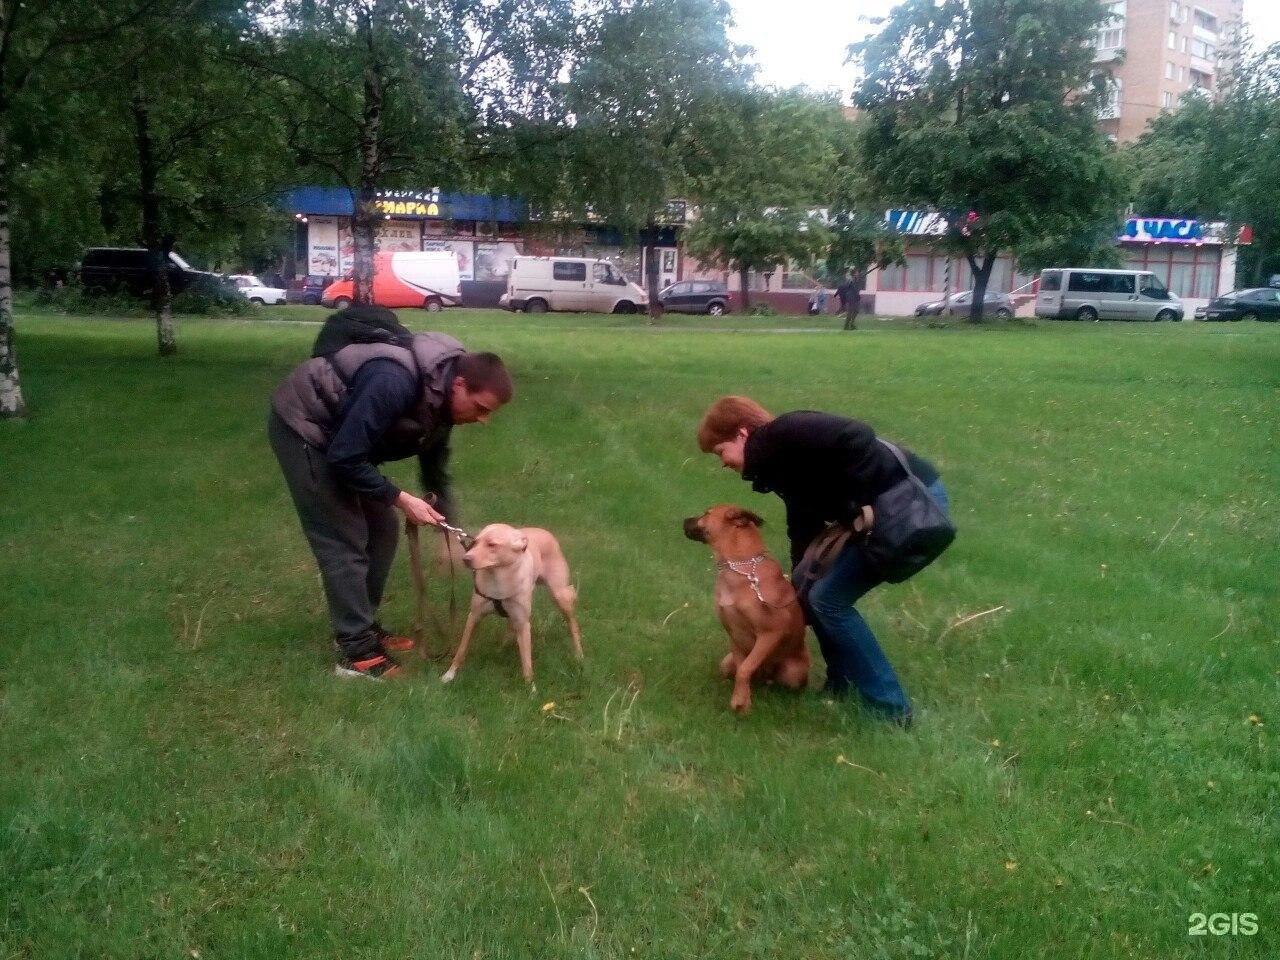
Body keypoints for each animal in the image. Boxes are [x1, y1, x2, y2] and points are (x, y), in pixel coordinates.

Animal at [440, 522, 581, 686]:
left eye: (492, 544)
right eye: (475, 542)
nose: (466, 559)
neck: (498, 579)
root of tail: (544, 531)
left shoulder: (523, 623)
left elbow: (527, 661)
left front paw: (530, 687)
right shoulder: (474, 616)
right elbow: (461, 649)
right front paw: (449, 674)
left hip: (560, 596)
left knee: (572, 624)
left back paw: (579, 654)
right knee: (510, 626)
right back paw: (502, 647)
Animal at [680, 506, 808, 711]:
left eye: (707, 513)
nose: (684, 520)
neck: (741, 567)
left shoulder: (771, 633)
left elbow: (746, 668)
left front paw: (742, 702)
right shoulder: (734, 634)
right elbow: (742, 667)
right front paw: (741, 696)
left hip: (793, 671)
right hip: (726, 662)